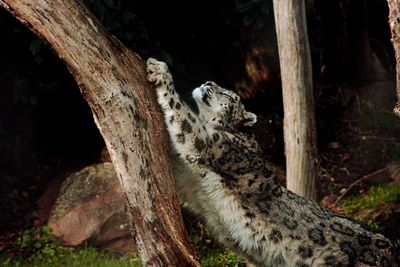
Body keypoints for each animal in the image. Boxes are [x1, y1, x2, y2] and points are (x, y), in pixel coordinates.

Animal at [146, 58, 396, 267]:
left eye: (229, 95)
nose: (208, 81)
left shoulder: (209, 144)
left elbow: (182, 116)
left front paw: (159, 69)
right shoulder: (192, 183)